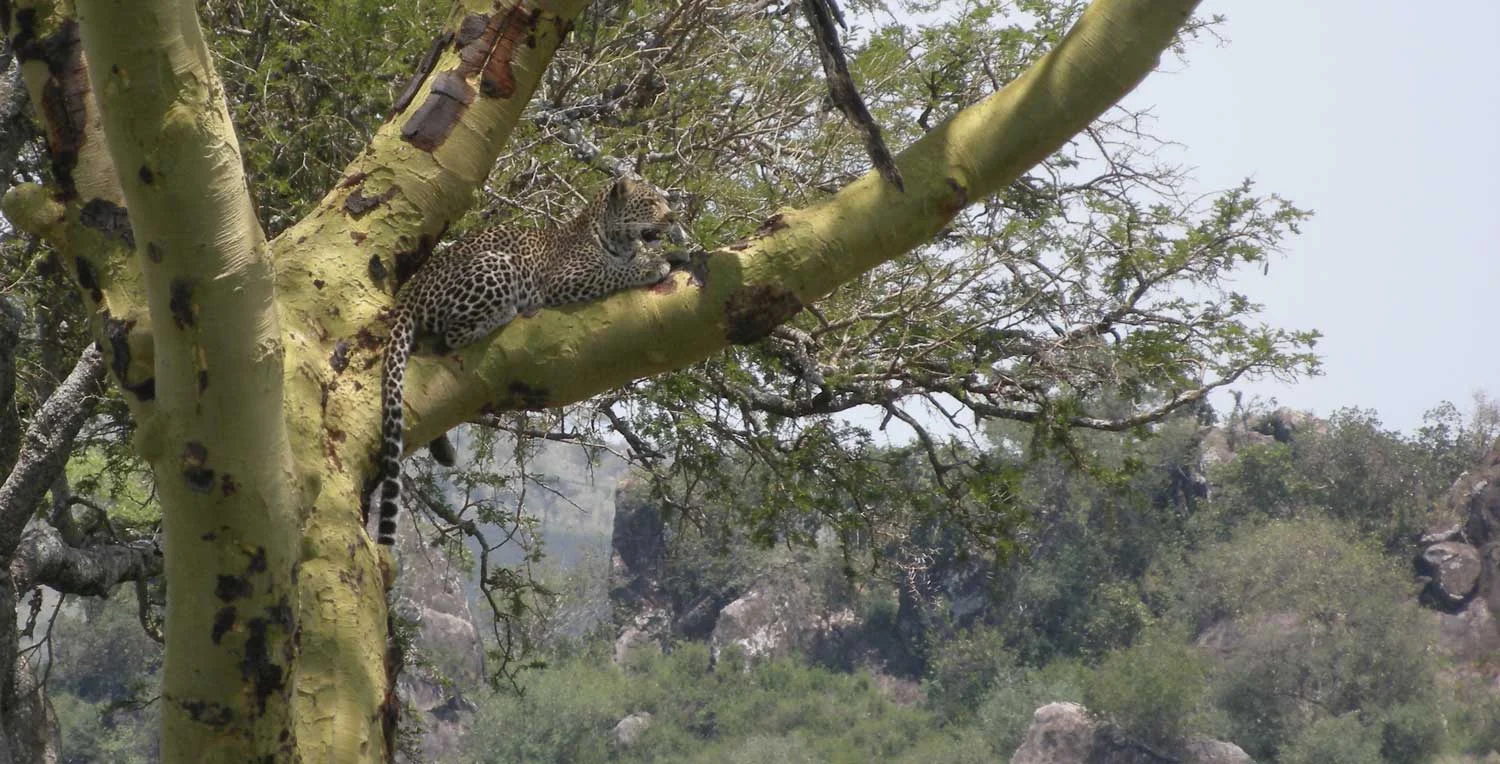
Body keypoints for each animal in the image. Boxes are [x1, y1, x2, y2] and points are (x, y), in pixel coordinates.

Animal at [375, 177, 682, 545]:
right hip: (498, 265)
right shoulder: (567, 279)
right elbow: (614, 272)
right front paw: (651, 265)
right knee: (454, 335)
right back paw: (508, 312)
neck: (614, 237)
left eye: (663, 201)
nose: (673, 217)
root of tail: (412, 290)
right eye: (650, 203)